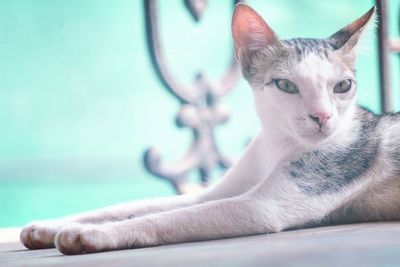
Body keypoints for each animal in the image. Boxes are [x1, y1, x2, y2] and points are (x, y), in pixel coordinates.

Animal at [20, 3, 400, 255]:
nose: (322, 116)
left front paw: (89, 234)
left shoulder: (260, 206)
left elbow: (167, 218)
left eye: (343, 86)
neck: (278, 145)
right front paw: (50, 225)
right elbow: (140, 206)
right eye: (286, 86)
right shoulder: (215, 191)